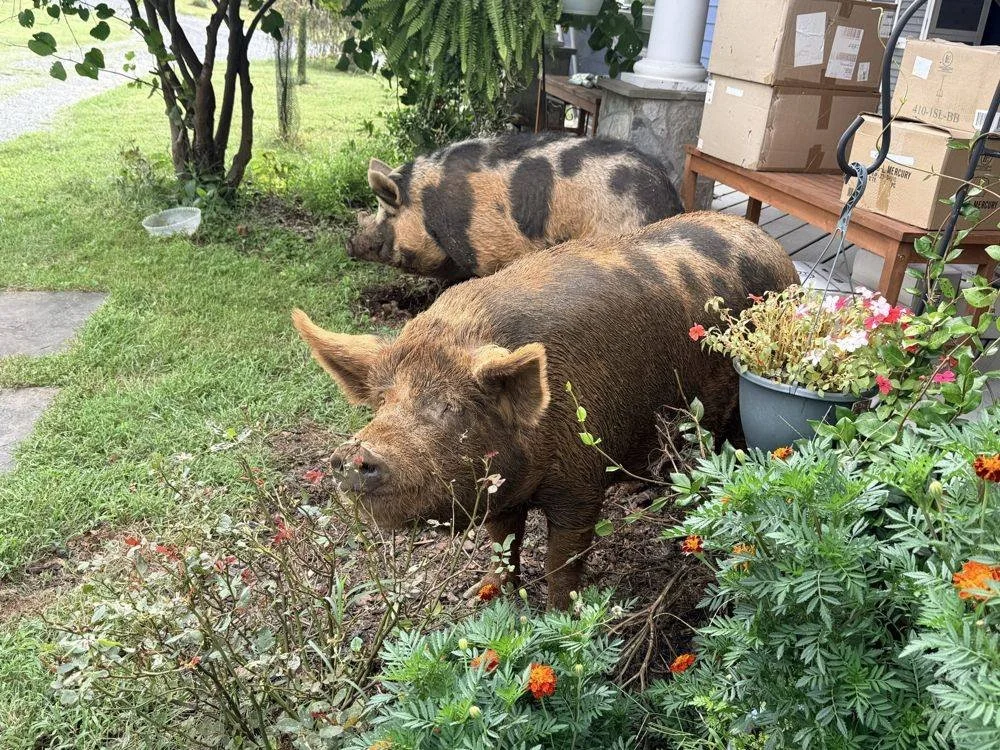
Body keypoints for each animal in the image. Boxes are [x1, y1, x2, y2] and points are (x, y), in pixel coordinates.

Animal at [295, 212, 797, 609]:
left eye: (451, 407)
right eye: (382, 402)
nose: (354, 455)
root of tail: (776, 249)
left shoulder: (582, 482)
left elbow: (563, 560)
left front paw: (558, 616)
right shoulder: (501, 493)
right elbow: (503, 545)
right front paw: (484, 597)